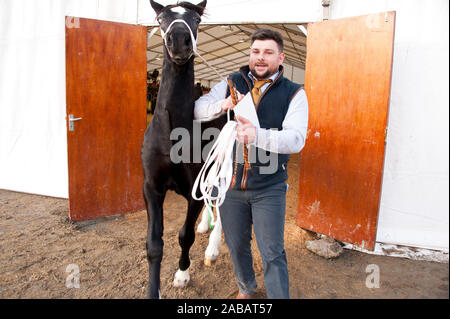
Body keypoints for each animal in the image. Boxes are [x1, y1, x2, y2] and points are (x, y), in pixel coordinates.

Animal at [142, 0, 225, 300]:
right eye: (161, 18)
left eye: (196, 19)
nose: (179, 41)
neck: (171, 134)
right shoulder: (152, 187)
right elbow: (154, 244)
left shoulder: (193, 191)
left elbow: (183, 236)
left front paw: (182, 275)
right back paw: (204, 226)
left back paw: (212, 249)